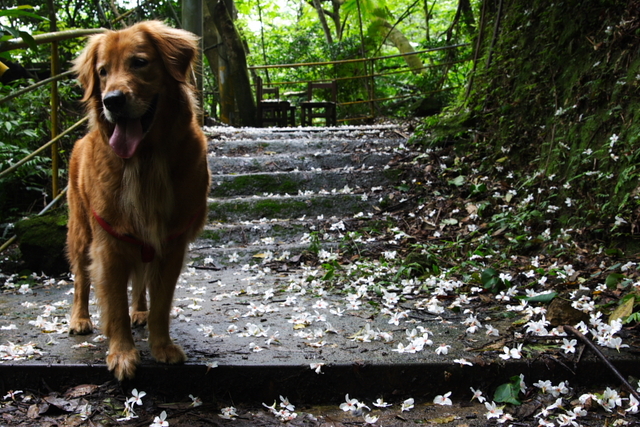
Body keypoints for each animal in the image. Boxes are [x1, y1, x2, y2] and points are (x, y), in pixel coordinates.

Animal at [69, 20, 211, 382]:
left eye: (139, 62)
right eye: (102, 71)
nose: (112, 101)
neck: (145, 159)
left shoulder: (171, 243)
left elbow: (160, 301)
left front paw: (161, 346)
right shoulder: (109, 244)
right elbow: (115, 304)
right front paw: (122, 354)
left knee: (141, 284)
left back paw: (140, 312)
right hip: (80, 233)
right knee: (81, 279)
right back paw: (79, 319)